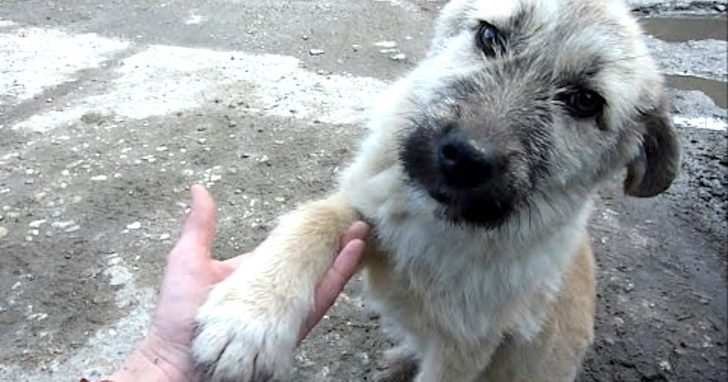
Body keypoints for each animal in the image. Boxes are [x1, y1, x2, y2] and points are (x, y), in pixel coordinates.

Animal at [191, 0, 680, 380]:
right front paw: (248, 317)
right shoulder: (368, 213)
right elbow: (314, 219)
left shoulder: (464, 351)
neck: (439, 228)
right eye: (489, 36)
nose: (465, 157)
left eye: (584, 102)